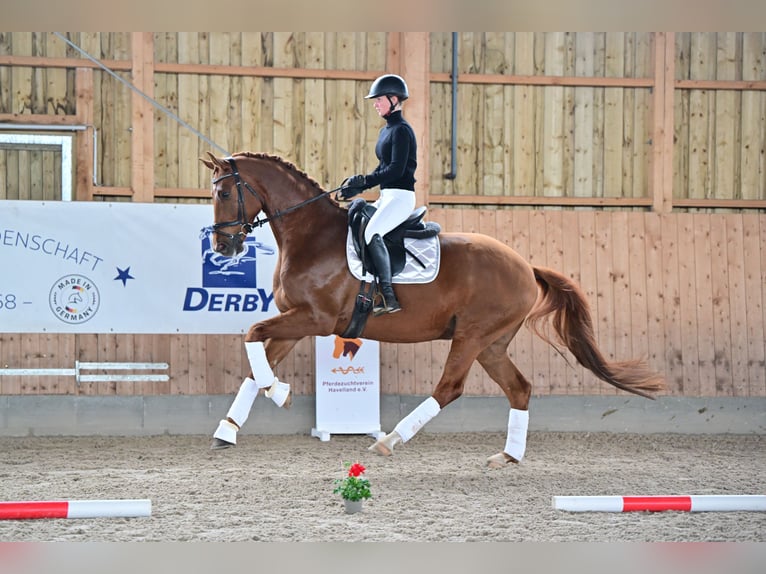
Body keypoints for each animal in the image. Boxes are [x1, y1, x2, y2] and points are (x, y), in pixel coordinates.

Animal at [202, 152, 664, 468]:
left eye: (224, 192)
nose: (223, 247)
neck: (311, 236)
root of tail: (525, 266)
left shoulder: (314, 318)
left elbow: (252, 336)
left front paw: (278, 394)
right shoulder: (296, 322)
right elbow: (255, 362)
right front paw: (229, 429)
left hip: (471, 337)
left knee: (449, 388)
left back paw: (389, 440)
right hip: (492, 344)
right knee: (519, 388)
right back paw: (508, 457)